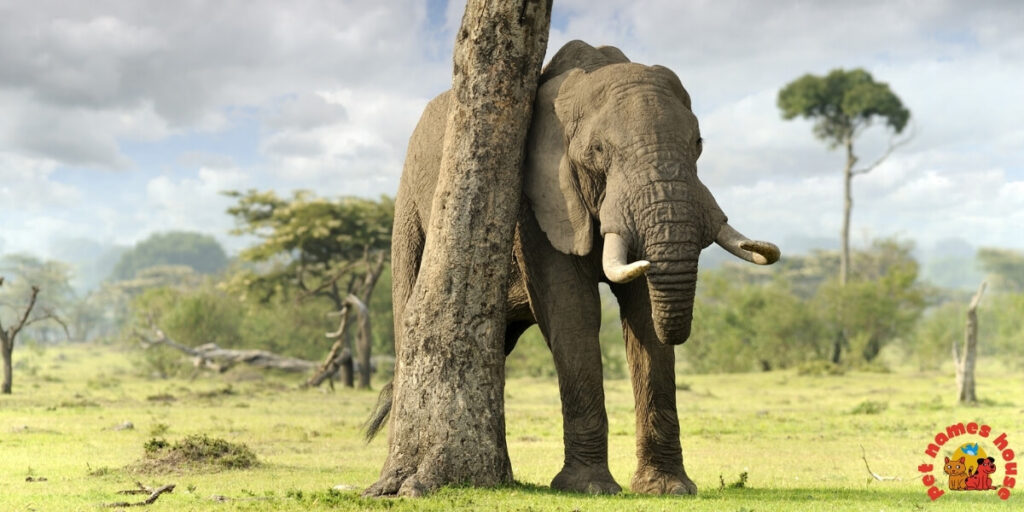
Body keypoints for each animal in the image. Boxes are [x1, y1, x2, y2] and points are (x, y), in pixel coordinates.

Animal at [369, 40, 780, 495]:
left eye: (698, 143)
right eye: (597, 152)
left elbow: (642, 313)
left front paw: (667, 489)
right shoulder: (535, 200)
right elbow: (573, 309)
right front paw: (588, 487)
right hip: (409, 208)